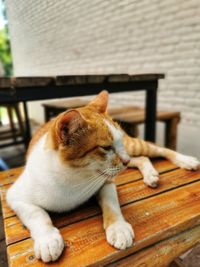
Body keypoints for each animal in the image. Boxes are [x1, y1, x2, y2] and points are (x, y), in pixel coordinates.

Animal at [6, 91, 198, 262]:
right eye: (106, 147)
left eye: (117, 142)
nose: (125, 161)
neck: (73, 178)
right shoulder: (14, 197)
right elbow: (37, 214)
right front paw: (47, 239)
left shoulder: (107, 182)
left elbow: (111, 204)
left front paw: (118, 228)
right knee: (142, 158)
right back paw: (150, 174)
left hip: (133, 146)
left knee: (157, 149)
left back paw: (186, 160)